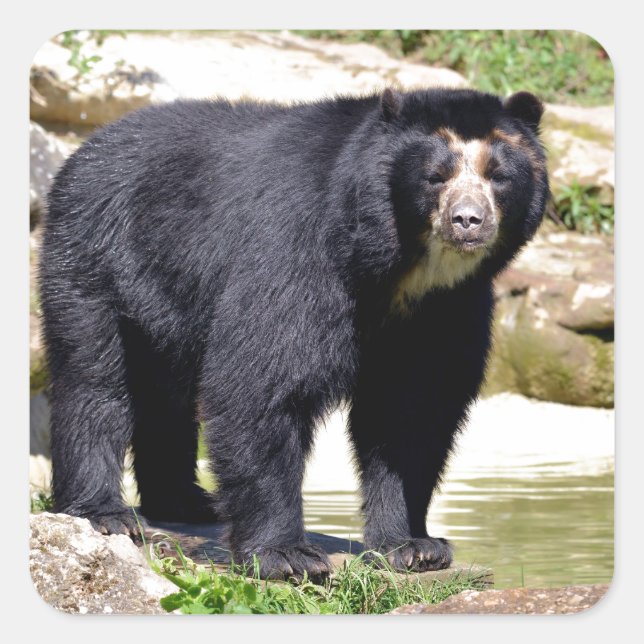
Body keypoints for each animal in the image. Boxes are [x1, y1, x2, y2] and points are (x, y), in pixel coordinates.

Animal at [39, 87, 548, 582]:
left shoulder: (448, 308)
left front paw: (415, 547)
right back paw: (106, 512)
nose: (468, 221)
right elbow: (263, 383)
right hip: (97, 256)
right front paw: (287, 556)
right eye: (434, 177)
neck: (402, 269)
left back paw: (188, 502)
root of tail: (86, 148)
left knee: (166, 396)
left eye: (498, 176)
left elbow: (413, 411)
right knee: (94, 380)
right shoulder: (299, 251)